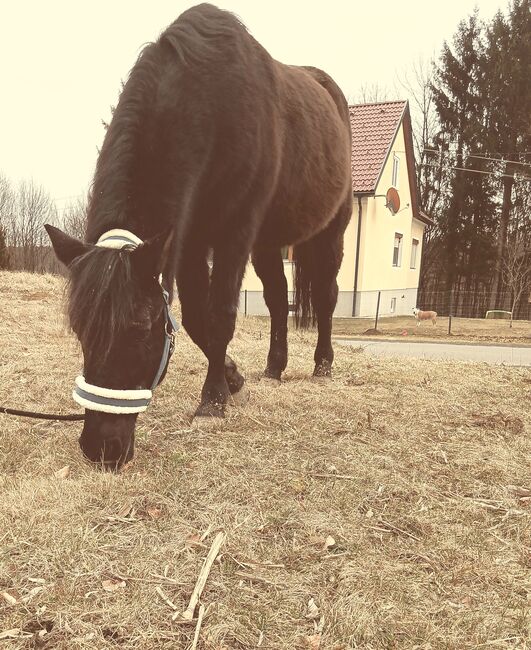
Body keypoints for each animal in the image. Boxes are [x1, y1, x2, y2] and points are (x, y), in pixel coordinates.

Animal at [45, 2, 354, 468]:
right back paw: (274, 368)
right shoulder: (187, 239)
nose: (100, 448)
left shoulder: (233, 234)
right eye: (81, 331)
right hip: (266, 244)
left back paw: (322, 364)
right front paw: (233, 377)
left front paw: (213, 401)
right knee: (278, 300)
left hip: (329, 233)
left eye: (139, 329)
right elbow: (194, 318)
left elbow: (221, 313)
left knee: (325, 297)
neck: (213, 102)